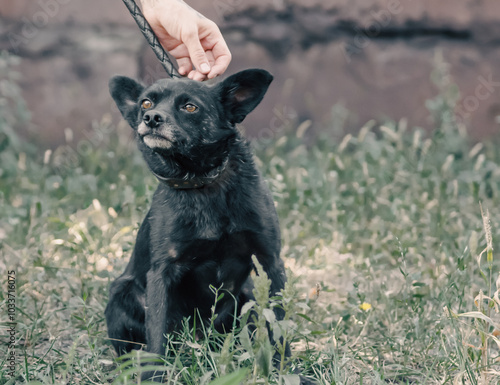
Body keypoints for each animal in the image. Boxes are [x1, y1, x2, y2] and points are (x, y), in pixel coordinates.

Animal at [104, 69, 296, 380]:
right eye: (146, 103)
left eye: (189, 107)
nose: (151, 118)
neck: (202, 182)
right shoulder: (162, 272)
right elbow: (156, 335)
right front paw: (152, 378)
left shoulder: (270, 261)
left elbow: (279, 325)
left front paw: (285, 369)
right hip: (122, 292)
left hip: (246, 297)